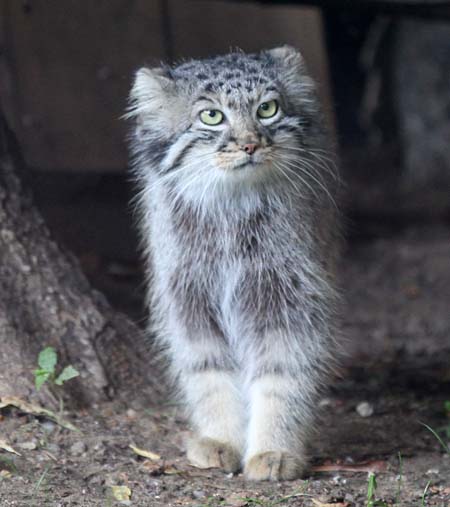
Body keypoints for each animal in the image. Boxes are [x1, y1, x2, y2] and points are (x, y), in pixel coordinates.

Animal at [128, 46, 340, 480]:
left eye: (267, 109)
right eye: (212, 116)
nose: (250, 145)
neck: (231, 209)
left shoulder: (288, 299)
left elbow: (281, 376)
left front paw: (274, 449)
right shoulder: (187, 301)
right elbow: (210, 375)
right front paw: (220, 439)